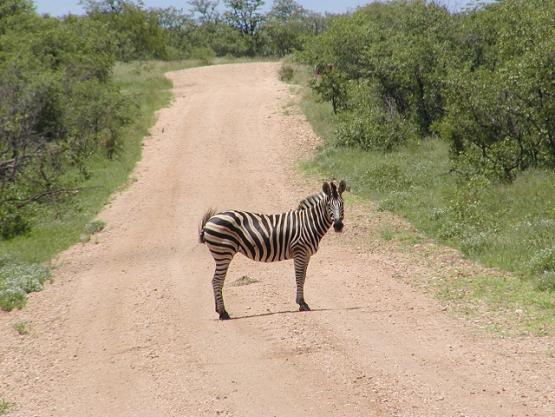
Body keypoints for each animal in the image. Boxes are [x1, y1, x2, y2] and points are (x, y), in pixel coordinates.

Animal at [200, 180, 348, 320]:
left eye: (342, 204)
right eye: (329, 205)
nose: (338, 226)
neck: (309, 223)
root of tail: (209, 221)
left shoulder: (306, 255)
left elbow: (304, 277)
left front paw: (302, 302)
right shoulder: (299, 251)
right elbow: (299, 277)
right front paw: (302, 304)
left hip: (222, 253)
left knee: (215, 281)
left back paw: (219, 310)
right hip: (224, 252)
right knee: (217, 280)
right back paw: (223, 313)